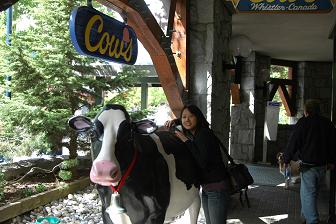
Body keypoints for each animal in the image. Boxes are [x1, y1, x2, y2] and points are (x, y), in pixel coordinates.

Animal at [68, 105, 200, 224]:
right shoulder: (106, 211)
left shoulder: (157, 213)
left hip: (195, 194)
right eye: (91, 134)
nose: (104, 170)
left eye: (129, 136)